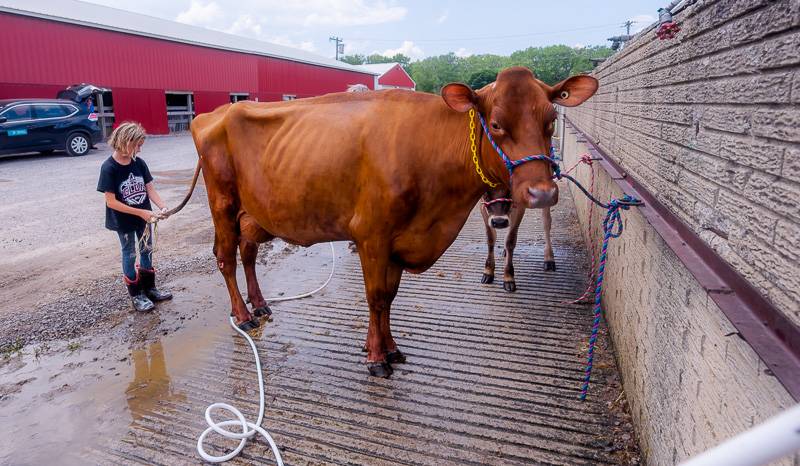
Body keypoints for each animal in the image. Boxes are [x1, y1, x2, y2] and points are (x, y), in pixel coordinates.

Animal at [188, 67, 596, 376]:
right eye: (495, 124)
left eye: (551, 120)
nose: (542, 193)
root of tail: (213, 114)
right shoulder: (372, 235)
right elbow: (376, 297)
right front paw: (375, 358)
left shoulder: (401, 241)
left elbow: (391, 298)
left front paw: (391, 349)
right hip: (222, 202)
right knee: (225, 257)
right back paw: (243, 315)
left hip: (255, 213)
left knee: (248, 252)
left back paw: (260, 305)